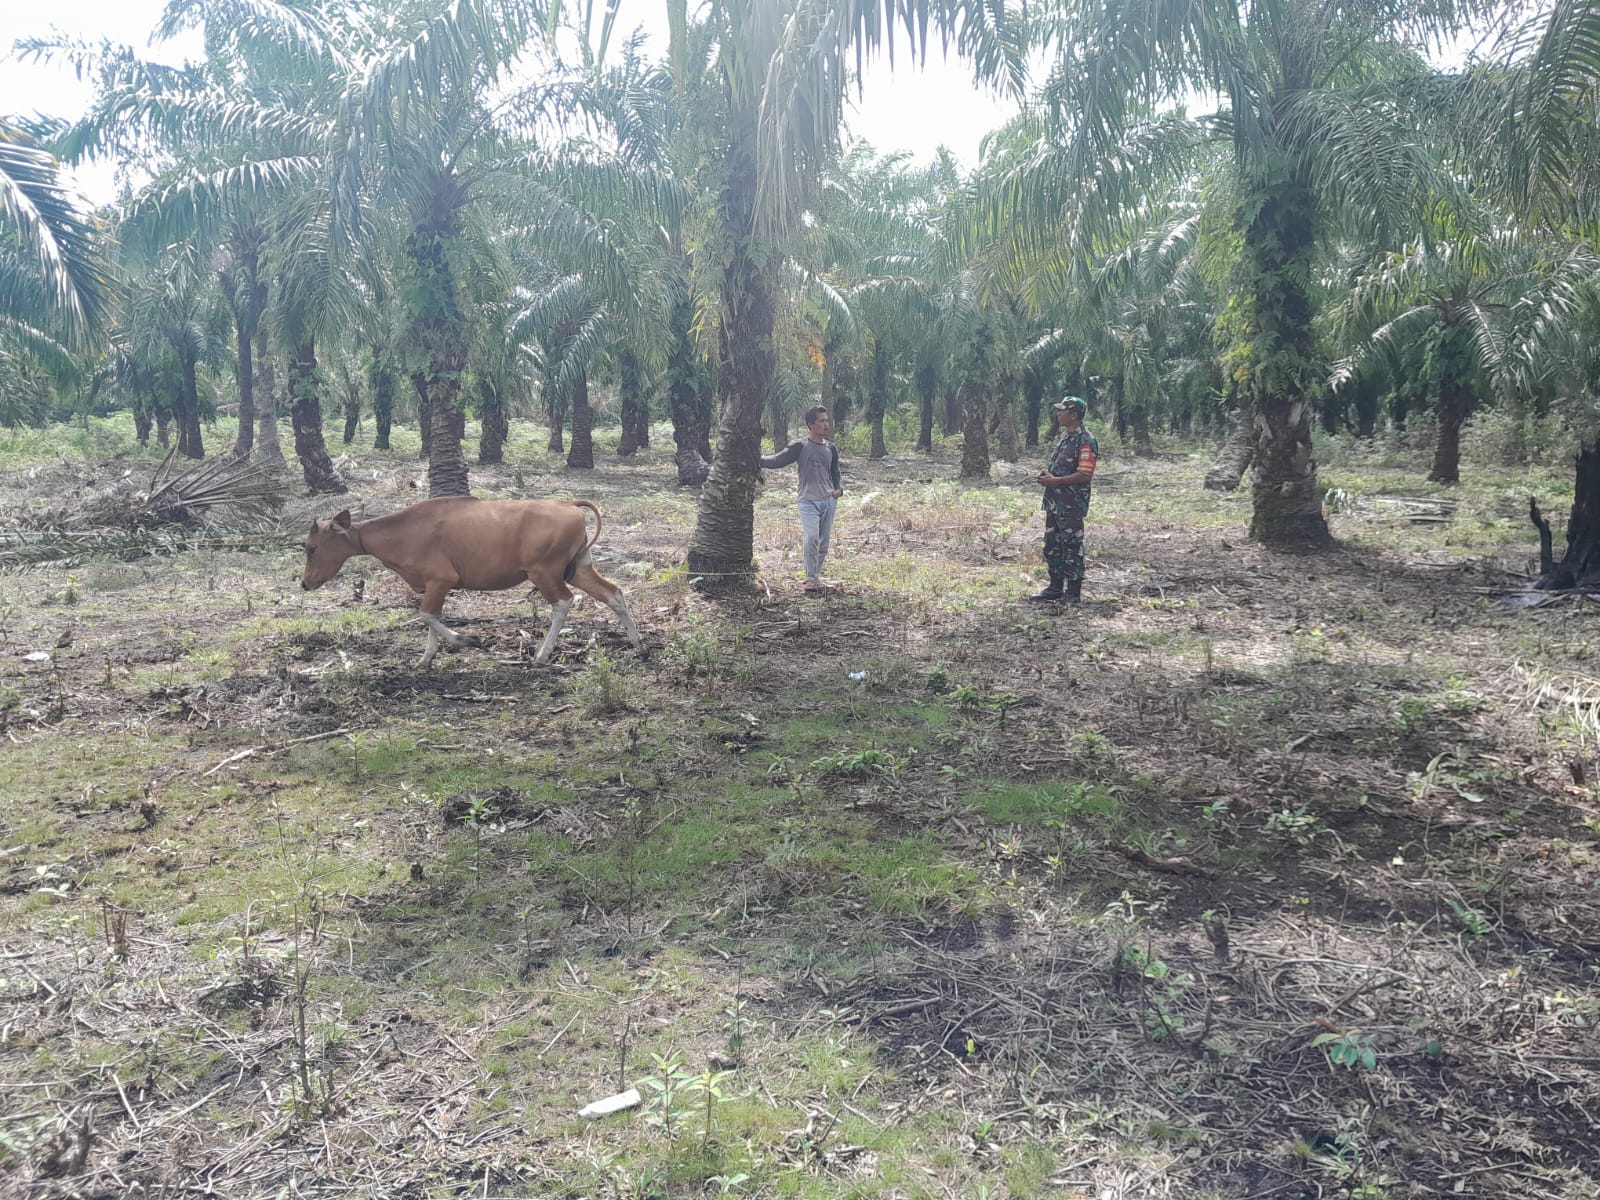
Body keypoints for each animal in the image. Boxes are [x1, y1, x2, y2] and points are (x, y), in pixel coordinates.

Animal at [302, 496, 640, 672]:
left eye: (311, 548)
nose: (305, 583)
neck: (403, 531)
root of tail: (569, 504)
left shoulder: (442, 579)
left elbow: (426, 615)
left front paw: (469, 640)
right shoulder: (433, 584)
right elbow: (431, 618)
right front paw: (426, 658)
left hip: (544, 572)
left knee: (563, 602)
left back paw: (543, 654)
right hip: (579, 568)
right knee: (614, 593)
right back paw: (637, 643)